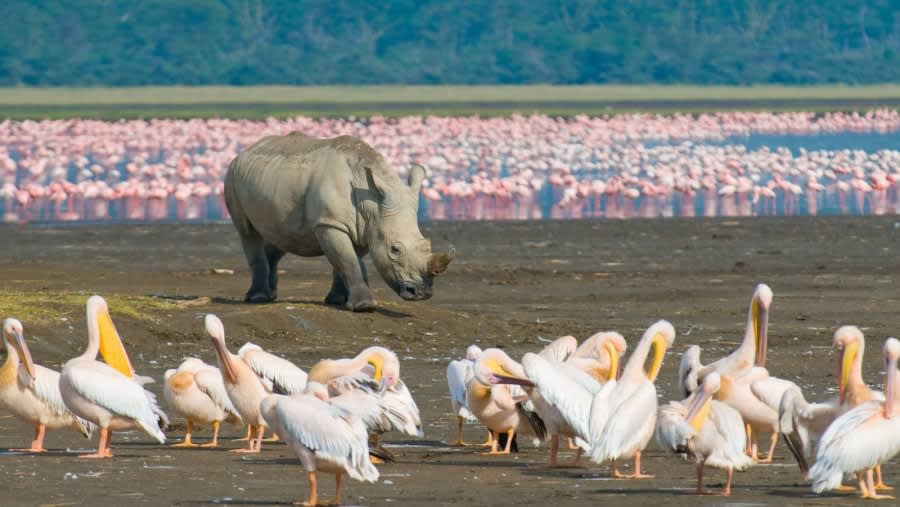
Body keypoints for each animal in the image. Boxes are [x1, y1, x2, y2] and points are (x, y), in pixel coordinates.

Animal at [223, 132, 454, 311]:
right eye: (395, 250)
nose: (421, 293)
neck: (370, 204)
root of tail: (245, 150)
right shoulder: (330, 222)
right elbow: (347, 259)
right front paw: (363, 307)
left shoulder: (365, 227)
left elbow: (347, 260)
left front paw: (337, 300)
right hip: (231, 175)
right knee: (248, 231)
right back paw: (258, 298)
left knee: (283, 236)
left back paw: (270, 296)